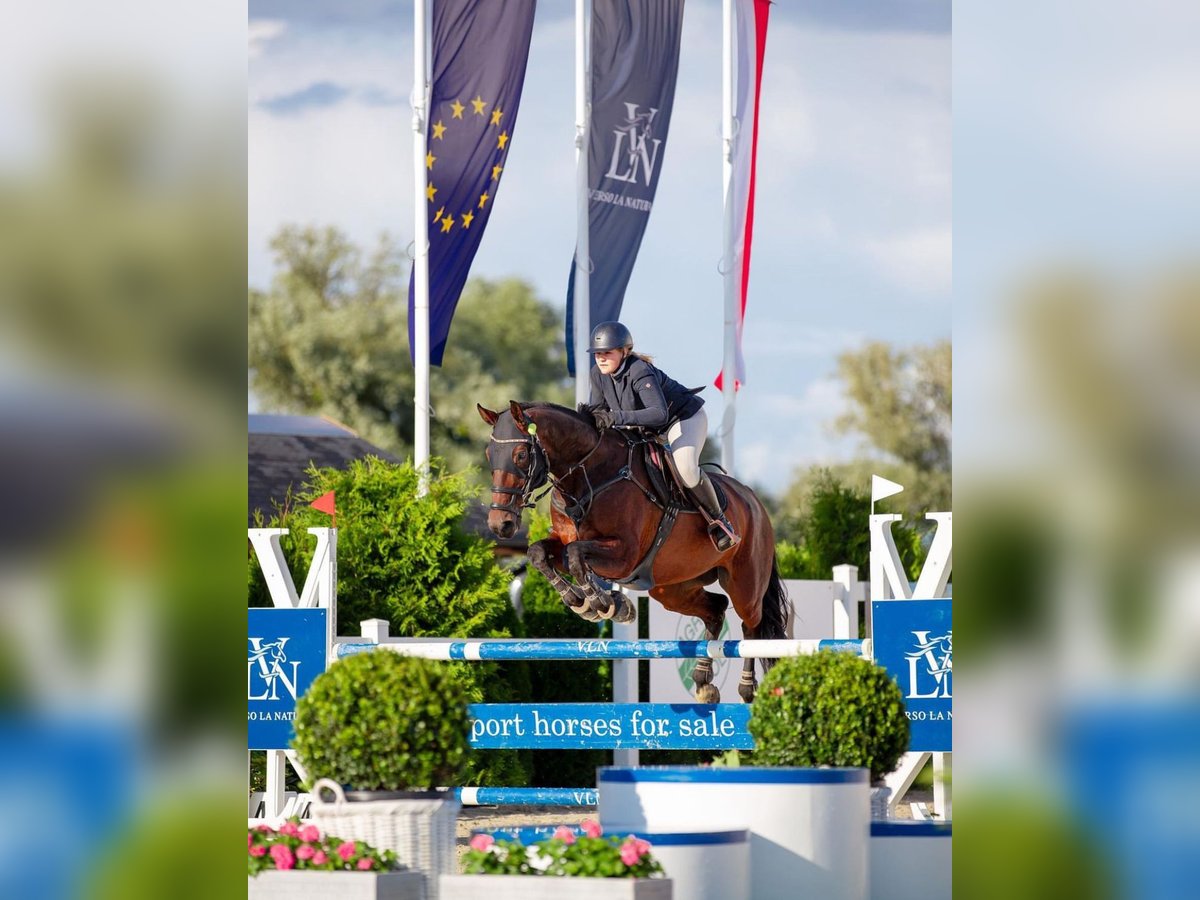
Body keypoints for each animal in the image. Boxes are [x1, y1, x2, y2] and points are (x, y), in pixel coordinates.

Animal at [472, 400, 792, 705]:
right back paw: (703, 682)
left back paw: (747, 689)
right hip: (672, 588)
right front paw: (583, 601)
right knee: (715, 609)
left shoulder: (624, 555)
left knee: (752, 626)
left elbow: (575, 556)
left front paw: (603, 605)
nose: (501, 525)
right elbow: (540, 553)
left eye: (520, 456)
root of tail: (754, 501)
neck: (588, 475)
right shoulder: (565, 543)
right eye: (489, 455)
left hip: (745, 583)